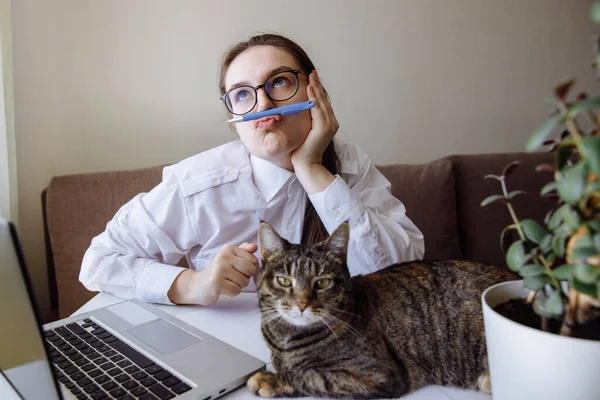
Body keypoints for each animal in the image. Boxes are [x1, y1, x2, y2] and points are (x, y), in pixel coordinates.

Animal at [246, 222, 516, 396]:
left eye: (322, 282)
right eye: (284, 281)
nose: (302, 304)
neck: (287, 340)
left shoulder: (379, 375)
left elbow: (312, 375)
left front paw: (270, 379)